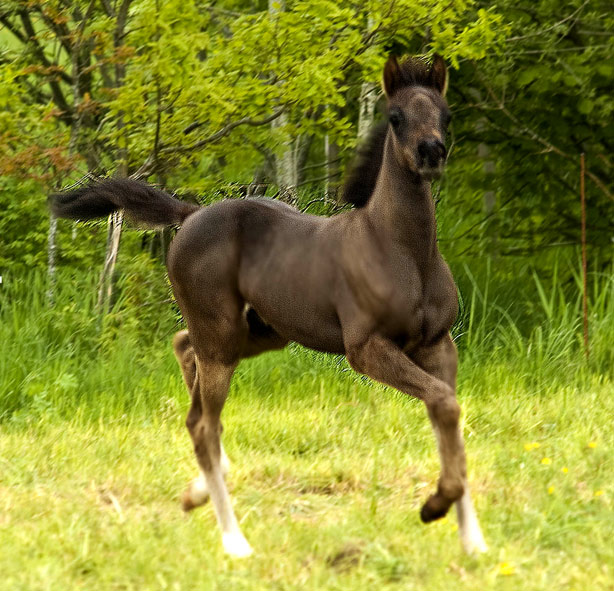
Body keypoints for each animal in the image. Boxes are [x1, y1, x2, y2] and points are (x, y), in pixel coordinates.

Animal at [50, 53, 488, 556]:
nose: (432, 153)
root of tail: (189, 214)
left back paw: (199, 491)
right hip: (223, 336)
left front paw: (471, 538)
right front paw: (435, 506)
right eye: (396, 117)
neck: (402, 250)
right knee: (203, 423)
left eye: (447, 115)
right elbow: (443, 402)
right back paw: (234, 540)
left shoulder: (437, 344)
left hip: (255, 332)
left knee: (187, 361)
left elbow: (447, 411)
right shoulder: (365, 349)